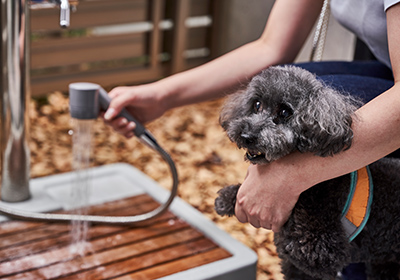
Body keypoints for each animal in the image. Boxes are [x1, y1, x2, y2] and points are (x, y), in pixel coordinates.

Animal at [216, 65, 400, 278]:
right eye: (256, 104)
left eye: (284, 112)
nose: (246, 136)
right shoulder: (291, 262)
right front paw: (229, 197)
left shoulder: (318, 257)